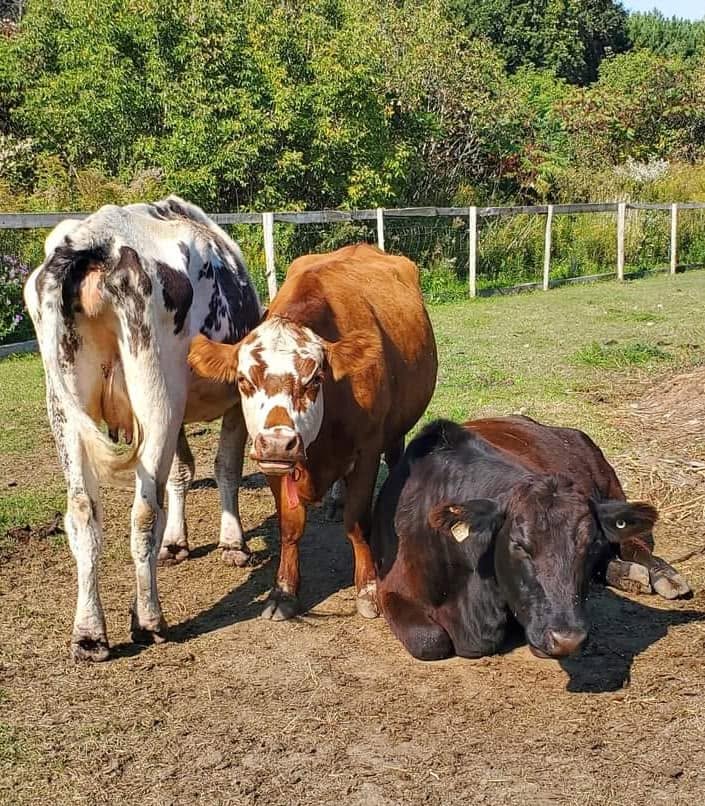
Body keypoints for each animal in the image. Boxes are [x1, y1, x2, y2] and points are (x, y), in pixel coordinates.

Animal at [23, 196, 261, 661]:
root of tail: (95, 239)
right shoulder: (233, 402)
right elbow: (225, 467)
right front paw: (232, 543)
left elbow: (183, 471)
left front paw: (177, 543)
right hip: (157, 396)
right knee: (144, 511)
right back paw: (148, 618)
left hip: (64, 403)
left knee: (83, 511)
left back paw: (90, 633)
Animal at [188, 244, 438, 620]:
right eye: (244, 381)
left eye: (314, 379)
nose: (278, 443)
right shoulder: (274, 466)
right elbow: (290, 527)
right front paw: (284, 591)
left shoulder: (367, 450)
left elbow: (357, 522)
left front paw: (368, 588)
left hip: (396, 429)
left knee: (395, 459)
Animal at [371, 416, 691, 661]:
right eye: (519, 545)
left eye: (590, 544)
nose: (568, 639)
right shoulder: (390, 588)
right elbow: (430, 641)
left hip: (612, 487)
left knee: (634, 545)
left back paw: (663, 575)